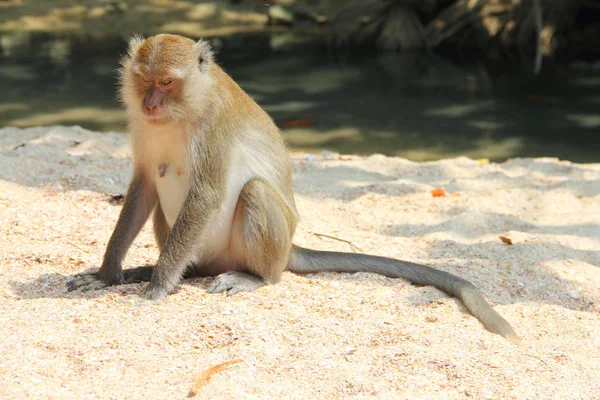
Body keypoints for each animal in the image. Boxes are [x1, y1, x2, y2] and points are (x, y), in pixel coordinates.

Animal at [67, 33, 520, 344]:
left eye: (166, 82)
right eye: (144, 80)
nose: (149, 104)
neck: (181, 113)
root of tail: (288, 250)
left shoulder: (213, 124)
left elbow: (207, 194)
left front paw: (158, 286)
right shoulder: (143, 131)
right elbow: (144, 186)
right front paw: (109, 275)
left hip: (263, 247)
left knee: (255, 194)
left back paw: (253, 278)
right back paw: (168, 270)